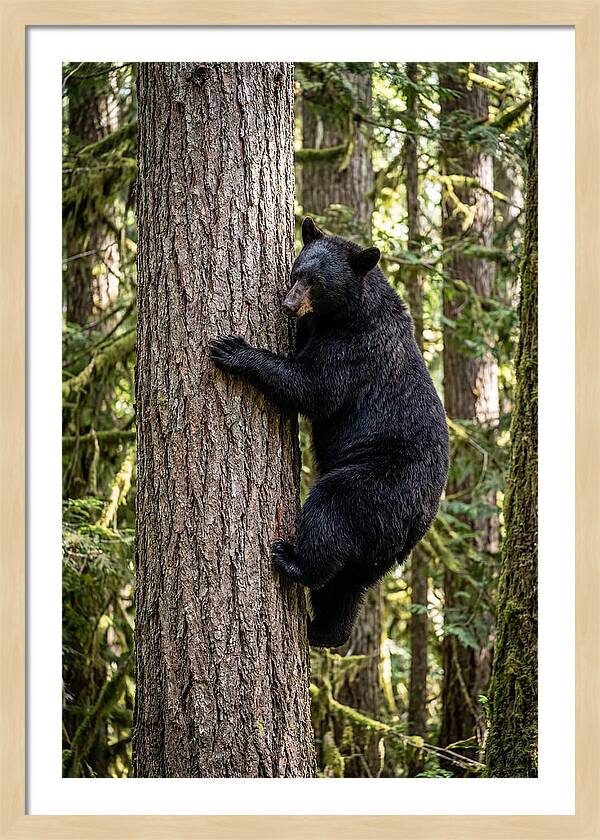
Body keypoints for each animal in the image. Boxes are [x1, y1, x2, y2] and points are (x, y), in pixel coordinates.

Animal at [210, 217, 449, 648]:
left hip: (377, 485)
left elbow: (315, 387)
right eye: (296, 272)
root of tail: (418, 523)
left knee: (331, 512)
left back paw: (292, 560)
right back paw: (325, 630)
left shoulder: (354, 350)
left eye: (316, 282)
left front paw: (234, 349)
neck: (350, 312)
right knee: (348, 584)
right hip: (379, 550)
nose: (288, 305)